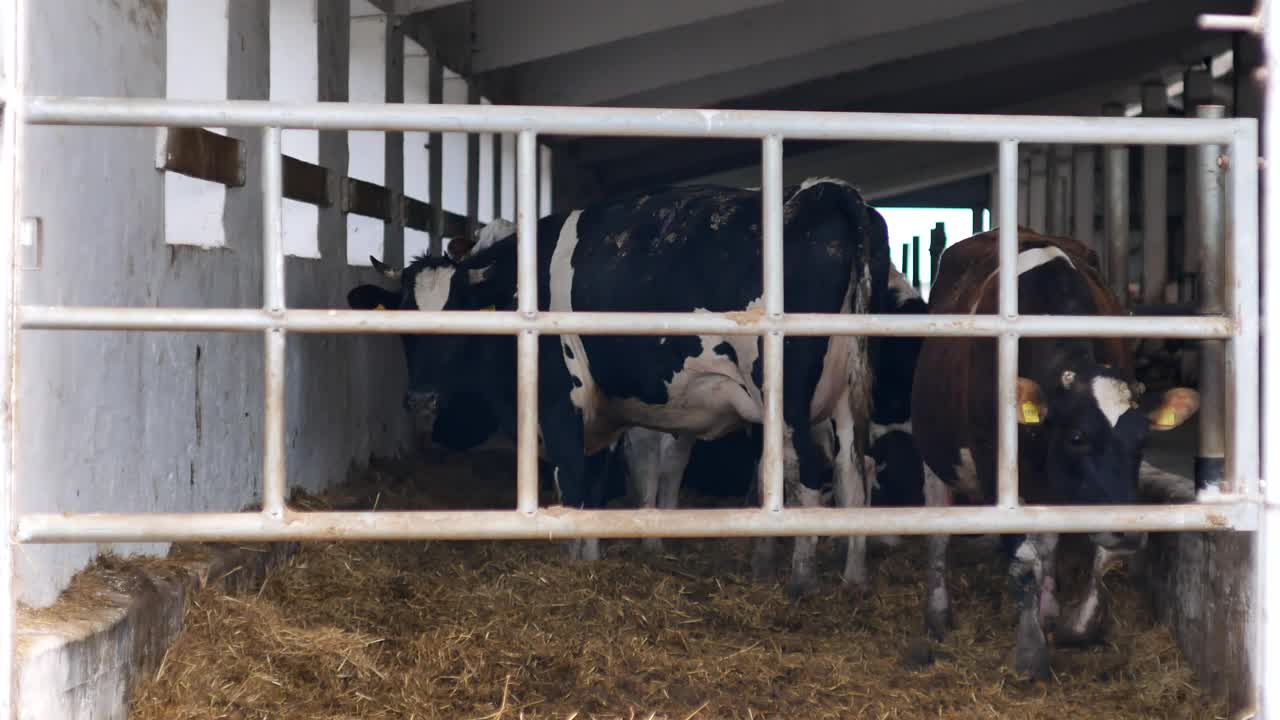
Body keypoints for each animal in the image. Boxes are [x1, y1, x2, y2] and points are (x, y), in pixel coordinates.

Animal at [350, 179, 890, 594]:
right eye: (403, 321)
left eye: (461, 316)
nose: (421, 398)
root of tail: (827, 192)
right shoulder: (603, 411)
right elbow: (592, 483)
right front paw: (589, 554)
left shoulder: (560, 401)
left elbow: (573, 481)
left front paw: (574, 563)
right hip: (845, 396)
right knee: (852, 473)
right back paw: (854, 577)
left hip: (786, 396)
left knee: (808, 474)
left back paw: (802, 580)